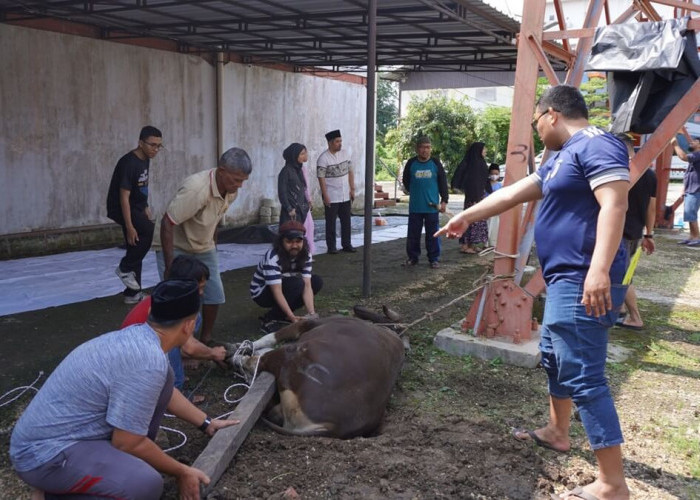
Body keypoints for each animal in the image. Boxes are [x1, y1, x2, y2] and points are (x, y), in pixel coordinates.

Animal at [228, 316, 404, 438]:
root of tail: (333, 426)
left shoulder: (307, 323)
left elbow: (274, 335)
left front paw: (240, 347)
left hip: (292, 354)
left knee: (257, 362)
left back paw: (236, 358)